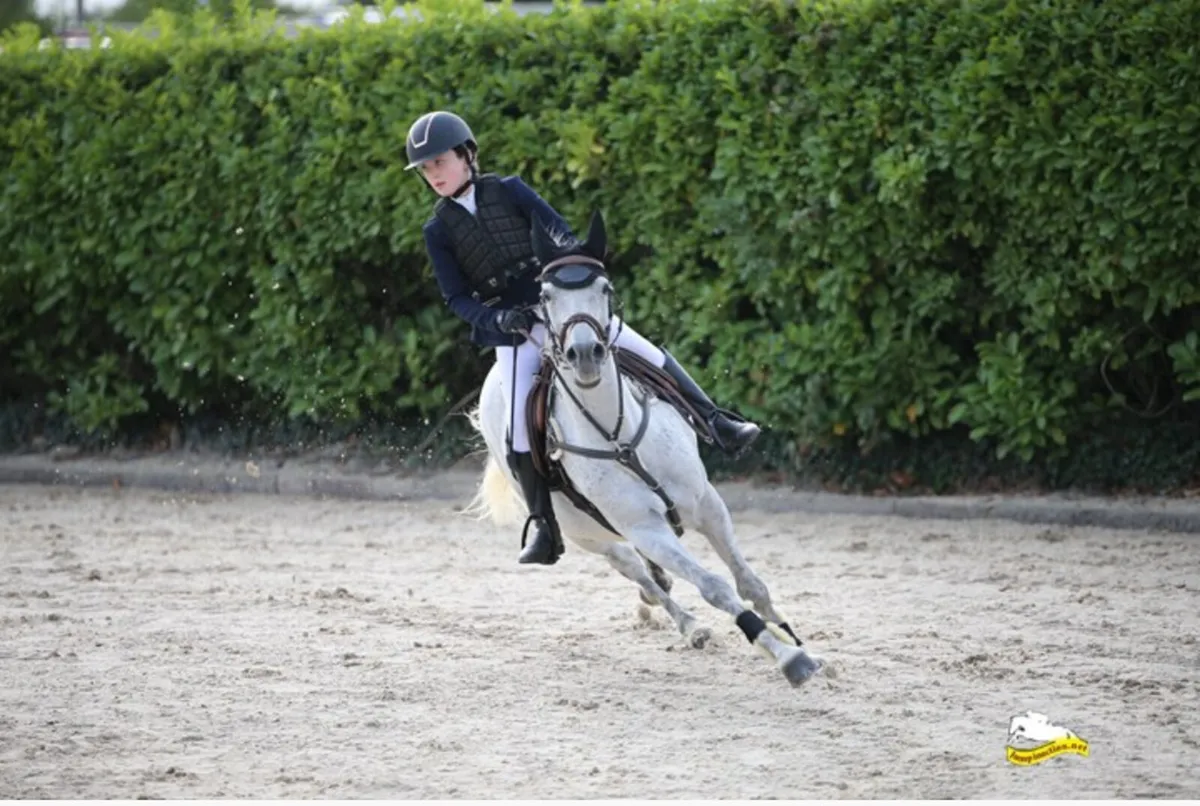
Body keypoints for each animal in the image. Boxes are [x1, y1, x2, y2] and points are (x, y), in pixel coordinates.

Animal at [466, 209, 824, 688]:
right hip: (585, 532)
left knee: (651, 576)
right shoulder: (646, 529)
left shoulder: (706, 503)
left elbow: (750, 583)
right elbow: (715, 587)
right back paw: (688, 626)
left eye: (605, 288)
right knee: (634, 569)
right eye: (546, 294)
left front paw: (794, 639)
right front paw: (786, 656)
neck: (617, 435)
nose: (585, 355)